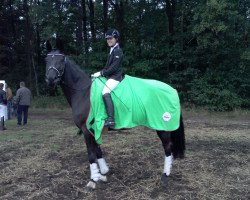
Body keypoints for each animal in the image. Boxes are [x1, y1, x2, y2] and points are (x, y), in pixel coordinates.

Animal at [45, 40, 186, 189]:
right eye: (46, 60)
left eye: (61, 60)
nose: (50, 80)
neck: (83, 92)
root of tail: (172, 89)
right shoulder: (93, 129)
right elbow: (98, 150)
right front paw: (103, 173)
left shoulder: (86, 130)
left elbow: (91, 154)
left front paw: (93, 180)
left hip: (162, 126)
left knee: (168, 148)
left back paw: (165, 176)